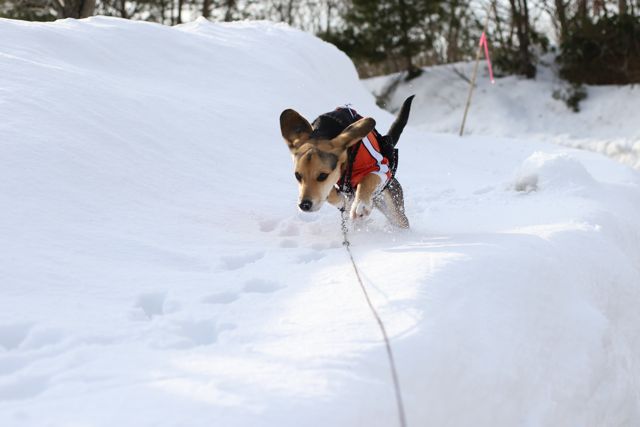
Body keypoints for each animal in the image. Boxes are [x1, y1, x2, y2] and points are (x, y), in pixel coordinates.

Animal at [280, 95, 416, 229]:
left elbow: (368, 179)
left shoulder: (381, 168)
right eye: (297, 176)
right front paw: (344, 202)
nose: (304, 205)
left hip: (393, 210)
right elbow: (332, 194)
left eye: (322, 175)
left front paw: (360, 205)